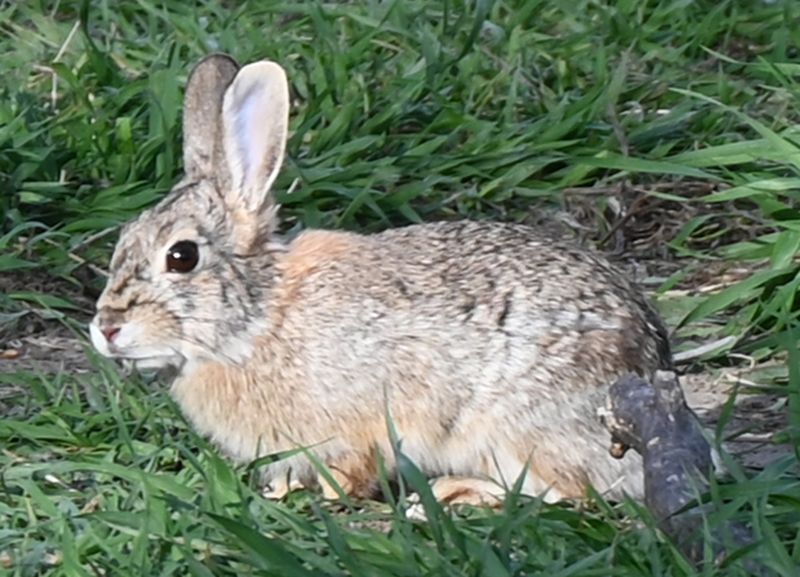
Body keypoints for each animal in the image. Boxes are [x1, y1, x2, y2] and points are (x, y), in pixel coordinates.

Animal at [89, 53, 676, 504]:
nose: (106, 329)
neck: (258, 321)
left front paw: (321, 494)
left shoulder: (360, 424)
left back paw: (453, 494)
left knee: (569, 493)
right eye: (125, 239)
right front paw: (281, 488)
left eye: (182, 256)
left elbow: (356, 466)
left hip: (521, 428)